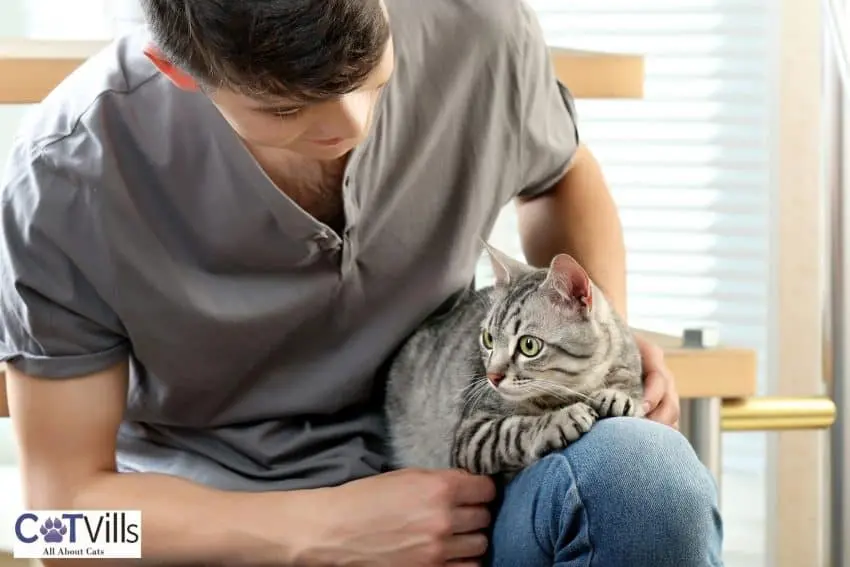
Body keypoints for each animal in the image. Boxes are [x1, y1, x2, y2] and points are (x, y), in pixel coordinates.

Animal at [382, 242, 644, 478]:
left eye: (529, 345)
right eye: (488, 339)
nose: (492, 377)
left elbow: (629, 380)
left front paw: (619, 396)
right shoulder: (471, 434)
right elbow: (512, 430)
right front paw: (558, 420)